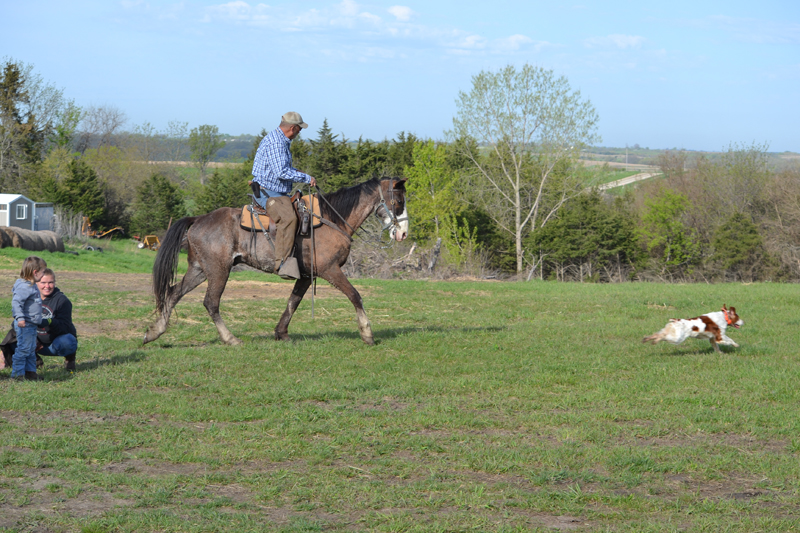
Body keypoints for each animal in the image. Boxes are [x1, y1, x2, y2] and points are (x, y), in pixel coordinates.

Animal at [141, 177, 410, 348]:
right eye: (398, 202)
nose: (403, 233)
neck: (333, 220)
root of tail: (198, 219)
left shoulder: (307, 276)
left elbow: (293, 302)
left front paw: (281, 333)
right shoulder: (330, 270)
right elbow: (355, 295)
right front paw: (367, 334)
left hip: (199, 270)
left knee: (173, 293)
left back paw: (154, 332)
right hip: (219, 271)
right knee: (211, 302)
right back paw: (230, 339)